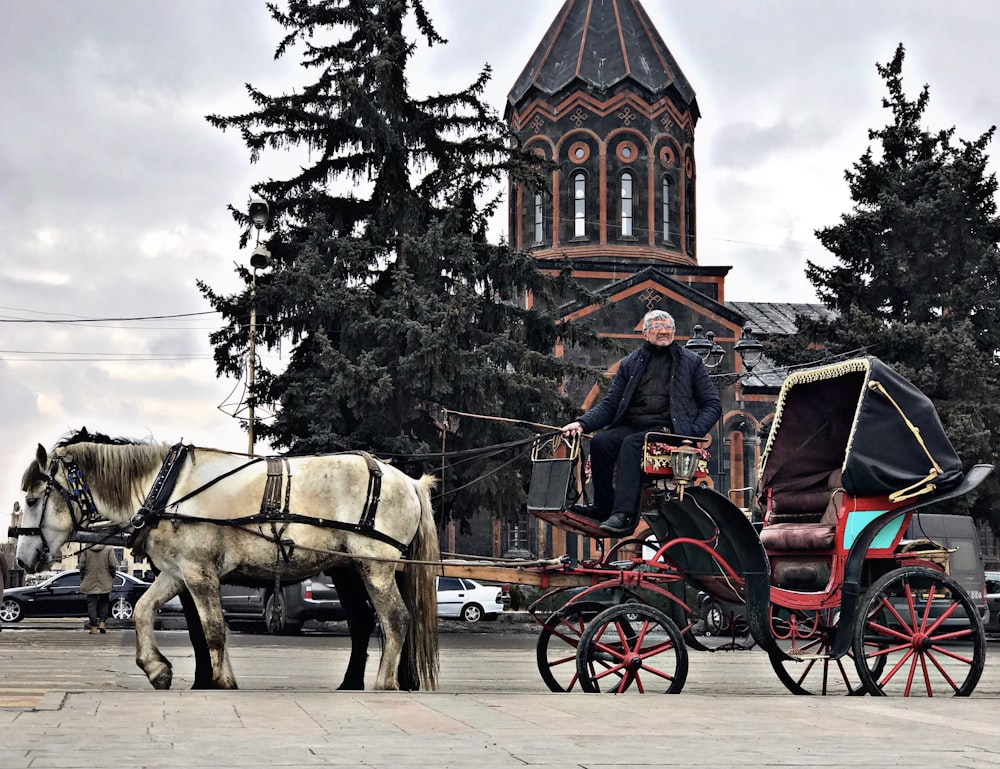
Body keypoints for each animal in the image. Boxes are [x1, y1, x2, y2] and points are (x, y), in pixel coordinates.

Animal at [15, 426, 438, 688]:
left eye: (33, 499)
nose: (21, 560)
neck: (167, 488)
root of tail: (409, 482)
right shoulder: (176, 572)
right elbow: (143, 611)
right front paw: (156, 669)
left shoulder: (200, 573)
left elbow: (213, 629)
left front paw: (220, 680)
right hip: (350, 569)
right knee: (366, 622)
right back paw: (355, 683)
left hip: (375, 566)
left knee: (396, 619)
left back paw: (384, 683)